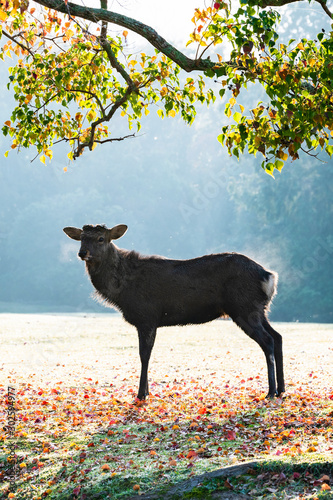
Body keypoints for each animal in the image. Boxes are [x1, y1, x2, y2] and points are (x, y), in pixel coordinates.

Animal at [62, 223, 282, 398]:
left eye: (101, 238)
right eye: (82, 238)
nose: (82, 253)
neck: (121, 292)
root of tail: (269, 276)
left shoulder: (147, 316)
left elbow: (144, 354)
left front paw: (141, 394)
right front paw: (146, 391)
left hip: (244, 307)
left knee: (267, 340)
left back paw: (271, 391)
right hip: (259, 309)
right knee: (277, 336)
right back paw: (281, 389)